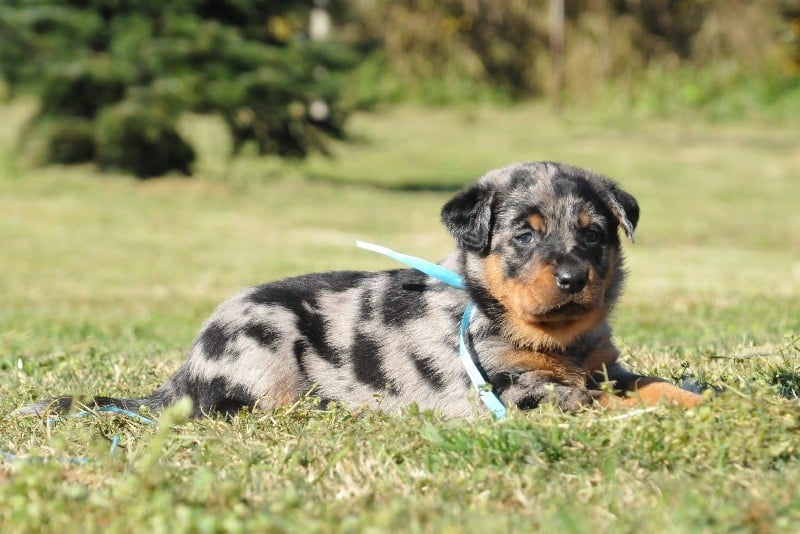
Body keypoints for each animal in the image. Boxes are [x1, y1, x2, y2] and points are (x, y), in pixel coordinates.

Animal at [16, 161, 703, 419]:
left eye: (593, 235)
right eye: (523, 235)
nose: (572, 278)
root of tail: (186, 370)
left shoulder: (607, 365)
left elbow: (651, 383)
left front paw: (704, 397)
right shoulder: (510, 390)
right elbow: (594, 400)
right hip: (264, 351)